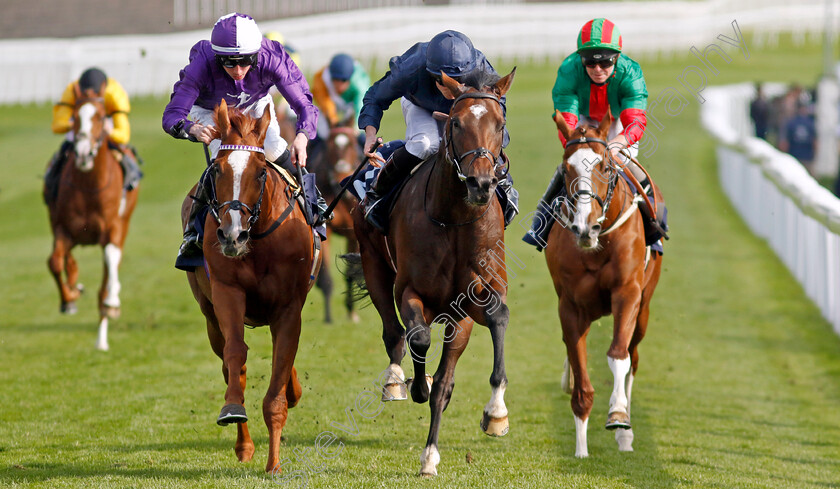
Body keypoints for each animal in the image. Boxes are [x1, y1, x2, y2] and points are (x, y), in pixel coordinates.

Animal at [45, 85, 139, 350]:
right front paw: (70, 297)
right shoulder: (63, 228)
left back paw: (102, 336)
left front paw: (112, 302)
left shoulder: (112, 228)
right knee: (66, 260)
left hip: (125, 223)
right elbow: (55, 262)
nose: (83, 153)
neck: (89, 186)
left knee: (108, 272)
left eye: (99, 116)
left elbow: (111, 258)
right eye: (76, 117)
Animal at [180, 98, 318, 468]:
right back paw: (243, 444)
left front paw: (274, 465)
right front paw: (233, 410)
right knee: (232, 365)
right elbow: (236, 355)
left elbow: (280, 372)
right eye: (217, 171)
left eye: (259, 171)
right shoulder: (227, 293)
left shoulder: (289, 308)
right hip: (209, 313)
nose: (232, 234)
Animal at [346, 70, 512, 474]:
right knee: (393, 332)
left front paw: (495, 413)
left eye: (499, 125)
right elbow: (418, 339)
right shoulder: (409, 290)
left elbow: (498, 317)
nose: (481, 184)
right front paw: (416, 384)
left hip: (456, 320)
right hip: (375, 266)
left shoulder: (473, 300)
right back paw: (395, 381)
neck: (454, 219)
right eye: (457, 123)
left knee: (444, 378)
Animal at [544, 108, 664, 456]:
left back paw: (626, 434)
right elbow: (580, 375)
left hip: (644, 310)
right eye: (566, 168)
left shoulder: (627, 293)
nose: (585, 227)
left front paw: (618, 415)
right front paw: (581, 449)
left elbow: (617, 355)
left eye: (605, 166)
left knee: (633, 357)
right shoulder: (570, 307)